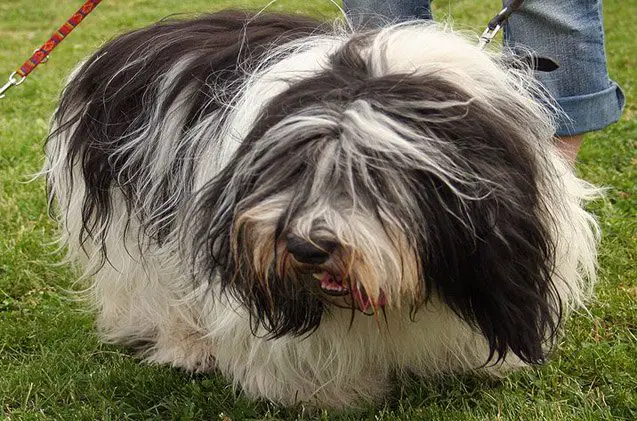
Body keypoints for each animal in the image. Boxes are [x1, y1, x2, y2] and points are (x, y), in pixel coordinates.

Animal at [47, 10, 600, 406]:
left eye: (373, 180)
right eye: (292, 172)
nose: (307, 247)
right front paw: (328, 394)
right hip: (137, 220)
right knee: (157, 287)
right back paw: (188, 348)